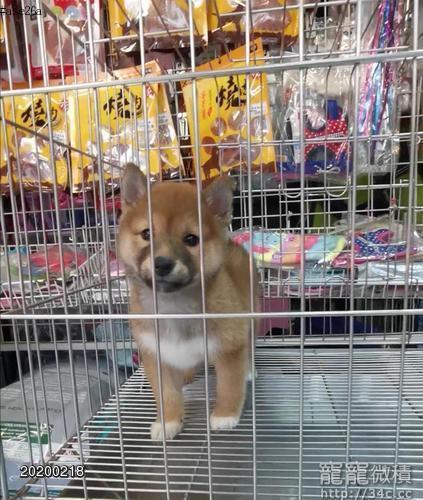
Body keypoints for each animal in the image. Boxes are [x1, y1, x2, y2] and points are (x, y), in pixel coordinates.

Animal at [118, 163, 258, 441]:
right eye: (147, 234)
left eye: (191, 239)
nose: (162, 263)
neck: (174, 307)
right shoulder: (156, 354)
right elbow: (166, 395)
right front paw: (169, 421)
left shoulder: (229, 347)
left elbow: (229, 386)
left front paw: (225, 415)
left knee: (250, 348)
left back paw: (249, 369)